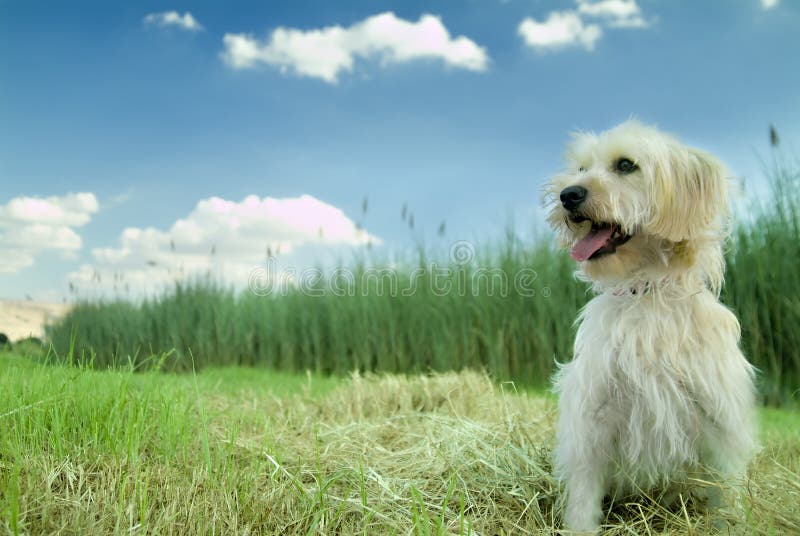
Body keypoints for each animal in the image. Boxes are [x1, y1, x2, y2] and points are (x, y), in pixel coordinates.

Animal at [544, 122, 756, 532]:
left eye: (626, 165)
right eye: (581, 169)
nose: (567, 195)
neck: (647, 292)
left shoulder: (720, 420)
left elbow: (728, 493)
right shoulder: (592, 419)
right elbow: (583, 497)